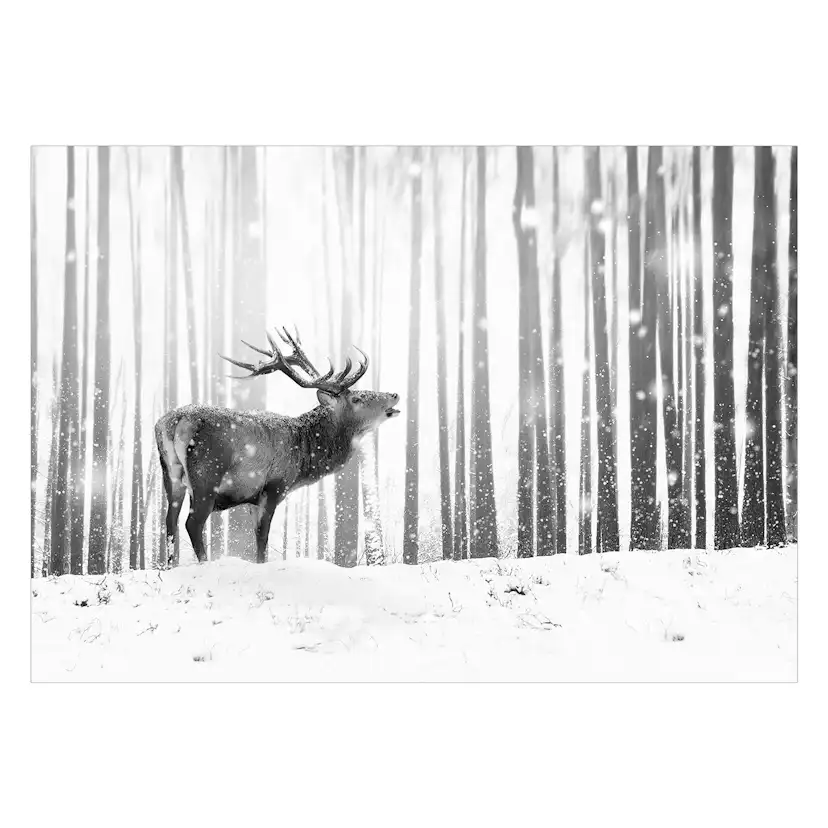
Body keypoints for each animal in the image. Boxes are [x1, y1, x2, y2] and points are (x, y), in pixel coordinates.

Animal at [154, 326, 400, 567]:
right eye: (357, 399)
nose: (394, 394)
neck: (303, 455)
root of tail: (175, 422)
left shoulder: (252, 497)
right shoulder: (274, 485)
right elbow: (263, 538)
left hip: (171, 474)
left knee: (170, 521)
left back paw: (170, 566)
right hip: (207, 474)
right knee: (193, 523)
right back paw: (204, 564)